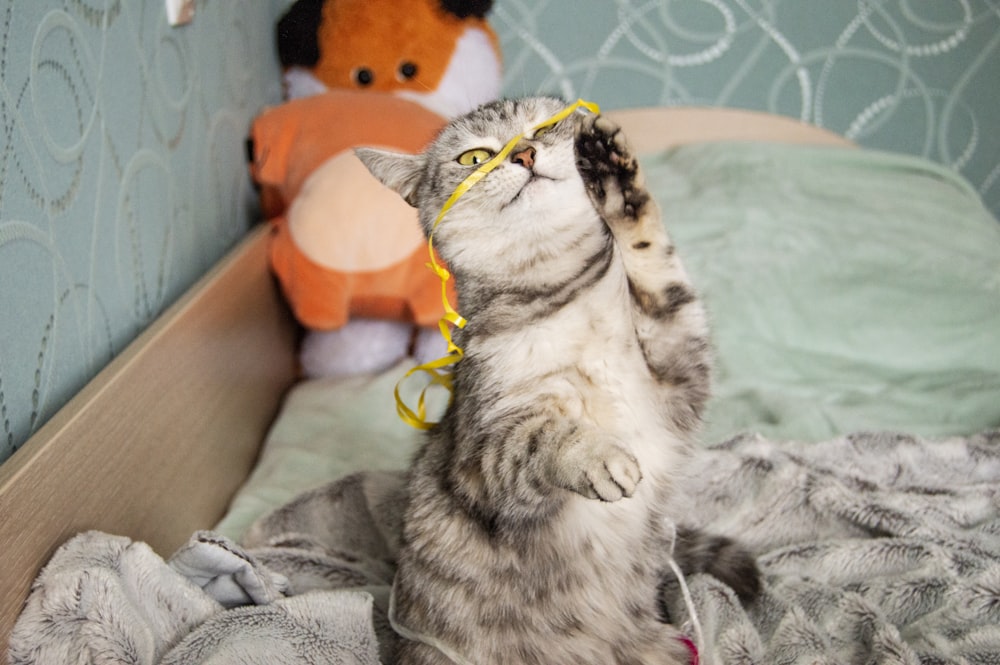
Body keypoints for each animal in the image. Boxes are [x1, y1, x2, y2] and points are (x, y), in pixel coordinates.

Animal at [356, 94, 752, 664]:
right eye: (474, 158)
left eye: (544, 126)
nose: (524, 153)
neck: (559, 293)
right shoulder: (483, 459)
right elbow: (542, 437)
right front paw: (595, 455)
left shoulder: (677, 373)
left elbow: (656, 265)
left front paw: (616, 177)